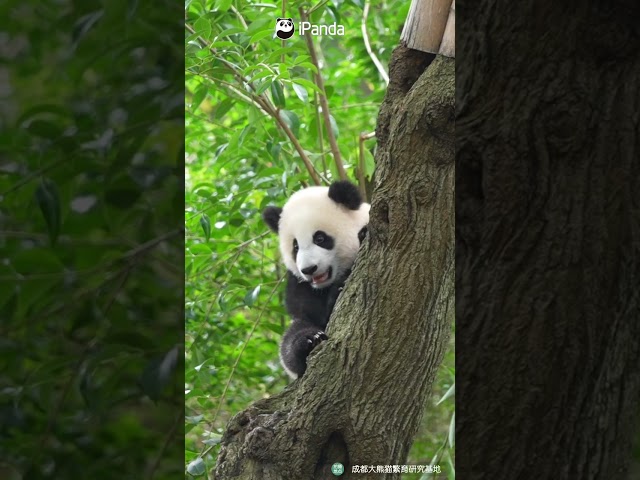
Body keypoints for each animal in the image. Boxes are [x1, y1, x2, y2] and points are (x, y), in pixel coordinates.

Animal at [262, 181, 369, 379]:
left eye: (320, 238)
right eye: (295, 247)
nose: (309, 269)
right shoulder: (299, 285)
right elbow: (309, 314)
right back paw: (309, 341)